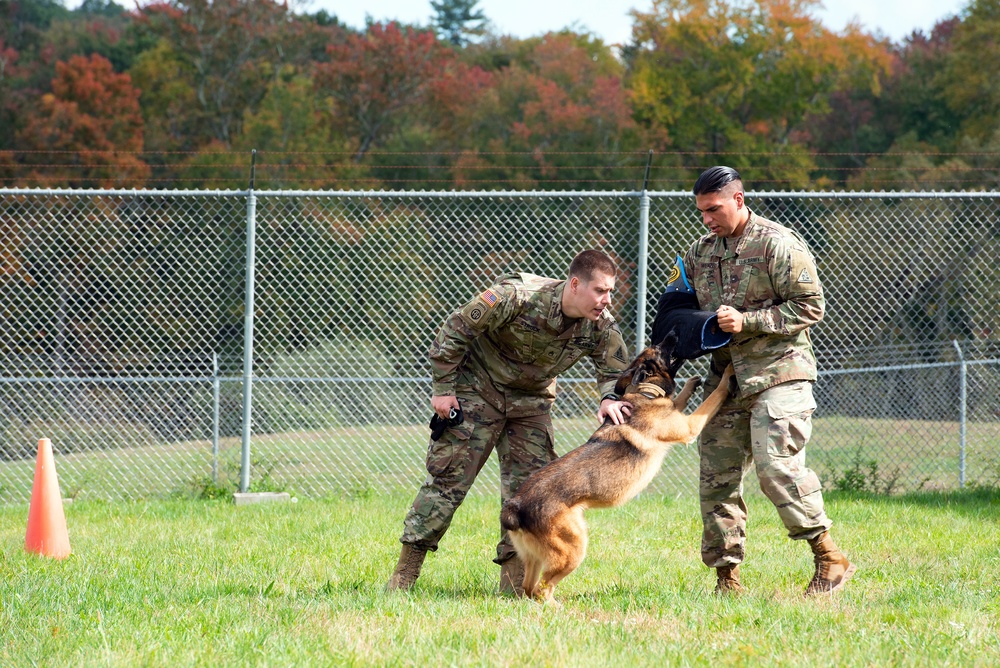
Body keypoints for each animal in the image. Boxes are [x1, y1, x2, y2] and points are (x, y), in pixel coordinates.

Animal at [500, 334, 736, 604]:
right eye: (659, 349)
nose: (672, 334)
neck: (645, 391)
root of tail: (514, 506)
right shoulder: (689, 427)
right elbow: (713, 397)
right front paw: (729, 373)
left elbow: (678, 400)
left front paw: (691, 384)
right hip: (574, 548)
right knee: (541, 589)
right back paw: (555, 606)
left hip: (534, 557)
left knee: (528, 589)